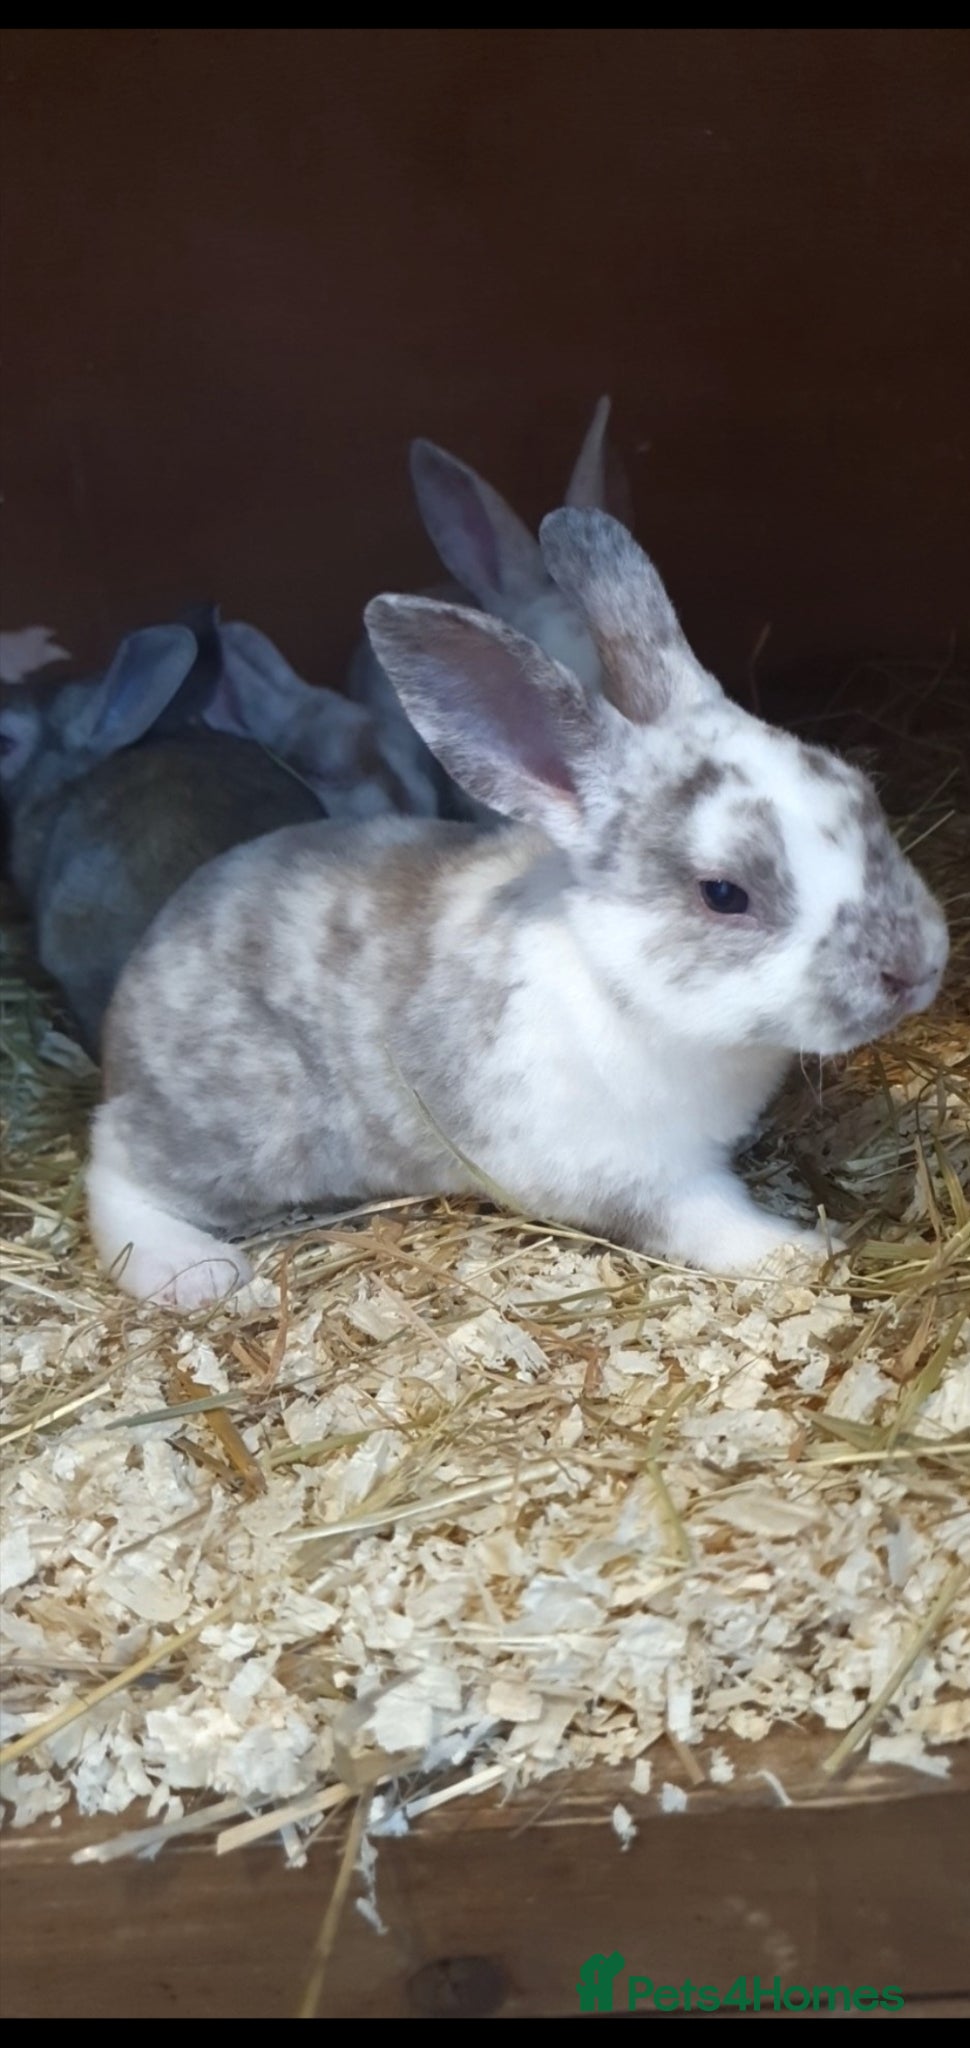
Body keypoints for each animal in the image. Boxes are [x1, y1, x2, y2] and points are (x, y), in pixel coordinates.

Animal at [86, 507, 949, 1310]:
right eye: (723, 893)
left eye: (862, 791)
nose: (918, 967)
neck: (622, 989)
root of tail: (128, 1004)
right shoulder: (639, 1175)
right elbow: (710, 1222)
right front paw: (806, 1252)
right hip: (241, 1137)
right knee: (112, 1166)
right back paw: (197, 1272)